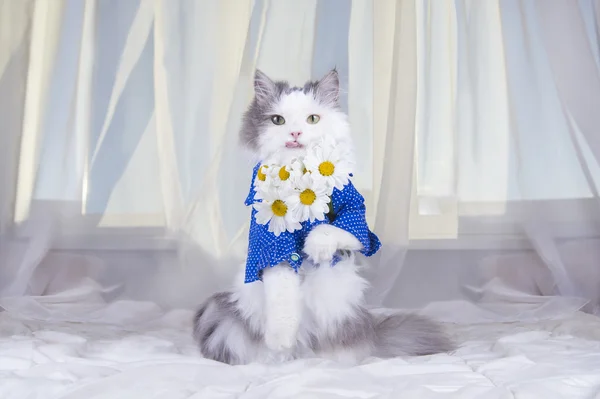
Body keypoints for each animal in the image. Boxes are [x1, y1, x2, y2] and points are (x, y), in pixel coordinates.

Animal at [192, 69, 450, 366]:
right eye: (278, 120)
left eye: (312, 119)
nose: (295, 132)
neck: (298, 178)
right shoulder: (270, 244)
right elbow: (282, 294)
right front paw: (281, 338)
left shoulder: (354, 214)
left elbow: (331, 230)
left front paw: (316, 248)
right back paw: (281, 357)